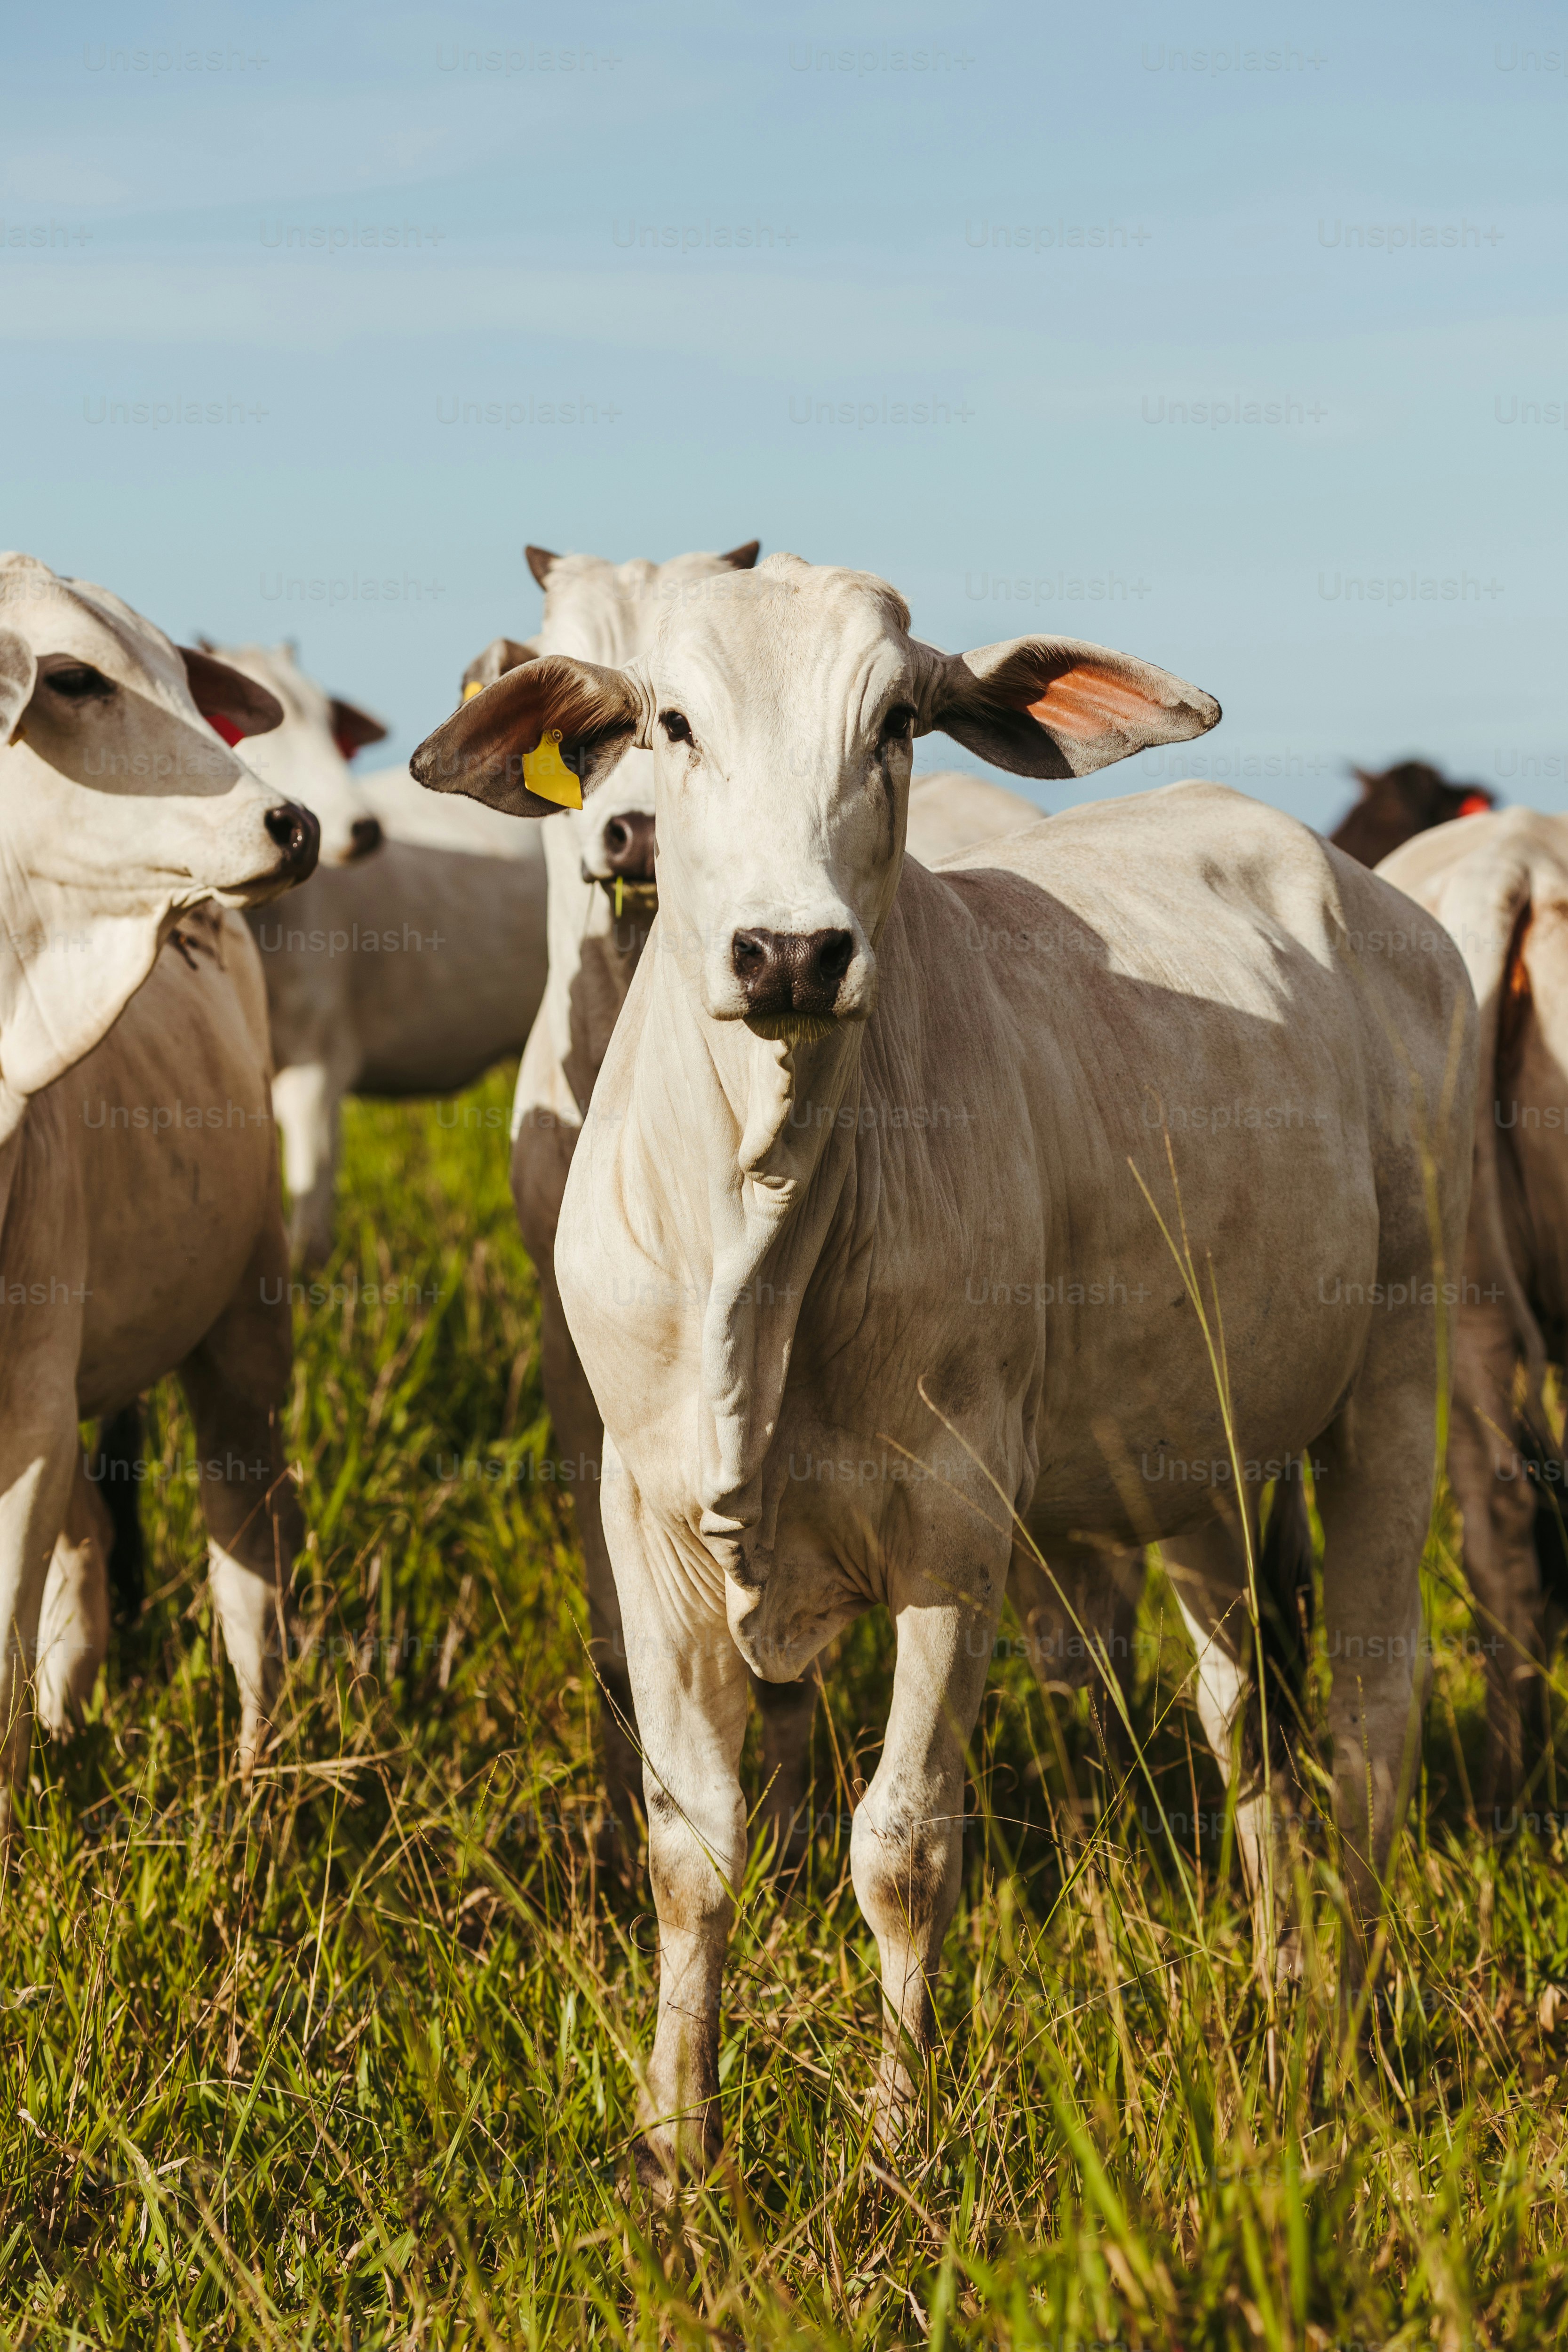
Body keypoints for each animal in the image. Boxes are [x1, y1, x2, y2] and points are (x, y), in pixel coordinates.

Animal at [412, 554, 1475, 2182]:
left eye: (898, 721)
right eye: (668, 721)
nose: (790, 952)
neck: (767, 1217)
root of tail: (1359, 890)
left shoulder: (954, 1532)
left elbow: (903, 1847)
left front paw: (897, 2145)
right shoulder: (646, 1526)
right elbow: (689, 1845)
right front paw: (674, 2147)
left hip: (1395, 1384)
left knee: (1365, 1718)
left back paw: (1335, 2042)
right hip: (1203, 1466)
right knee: (1247, 1715)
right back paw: (1277, 1969)